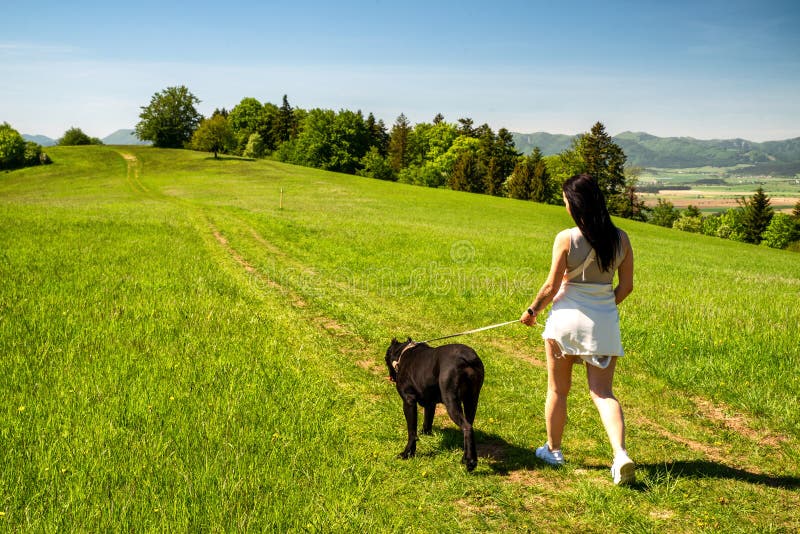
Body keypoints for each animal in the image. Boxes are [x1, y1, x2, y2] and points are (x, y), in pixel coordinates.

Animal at [384, 340, 484, 474]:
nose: (390, 376)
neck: (404, 351)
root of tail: (467, 357)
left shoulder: (409, 402)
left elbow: (412, 432)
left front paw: (407, 453)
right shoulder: (430, 403)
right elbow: (428, 420)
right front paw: (426, 433)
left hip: (451, 400)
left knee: (466, 427)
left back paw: (470, 462)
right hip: (471, 401)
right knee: (469, 427)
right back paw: (465, 458)